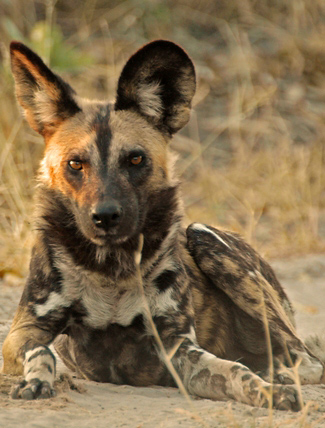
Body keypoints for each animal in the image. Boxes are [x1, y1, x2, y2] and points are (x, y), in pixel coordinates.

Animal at [2, 41, 324, 412]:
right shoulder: (24, 330)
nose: (105, 216)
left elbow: (234, 371)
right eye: (75, 164)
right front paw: (39, 380)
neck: (111, 267)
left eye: (135, 159)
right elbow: (42, 351)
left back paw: (276, 374)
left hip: (205, 238)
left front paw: (268, 392)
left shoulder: (178, 347)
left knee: (306, 359)